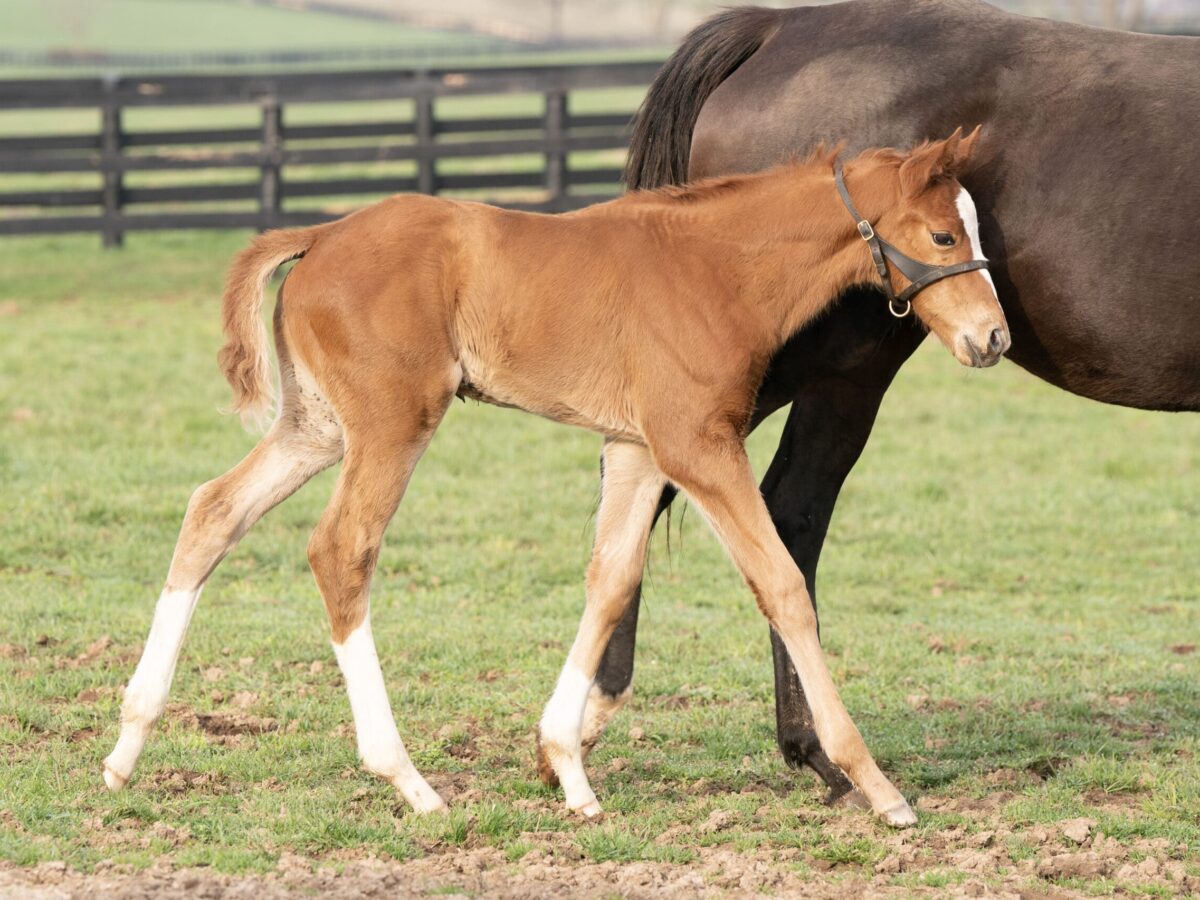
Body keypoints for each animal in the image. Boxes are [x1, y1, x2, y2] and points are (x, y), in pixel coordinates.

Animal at [103, 130, 1008, 830]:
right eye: (941, 238)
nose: (993, 338)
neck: (715, 267)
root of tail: (321, 234)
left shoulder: (638, 449)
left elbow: (611, 579)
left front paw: (566, 766)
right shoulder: (699, 446)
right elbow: (782, 586)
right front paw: (878, 786)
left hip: (318, 427)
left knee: (213, 510)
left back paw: (126, 747)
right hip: (394, 424)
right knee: (341, 549)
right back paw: (409, 781)